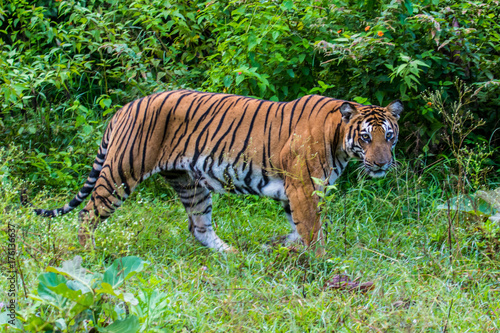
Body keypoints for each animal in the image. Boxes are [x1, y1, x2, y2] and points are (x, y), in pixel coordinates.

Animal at [32, 89, 402, 253]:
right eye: (366, 137)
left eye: (389, 136)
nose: (382, 164)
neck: (340, 139)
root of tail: (126, 107)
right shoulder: (302, 188)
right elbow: (313, 230)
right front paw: (320, 262)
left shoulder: (297, 193)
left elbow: (299, 229)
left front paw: (278, 247)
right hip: (122, 173)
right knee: (88, 214)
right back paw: (88, 256)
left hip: (190, 184)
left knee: (199, 227)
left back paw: (232, 255)